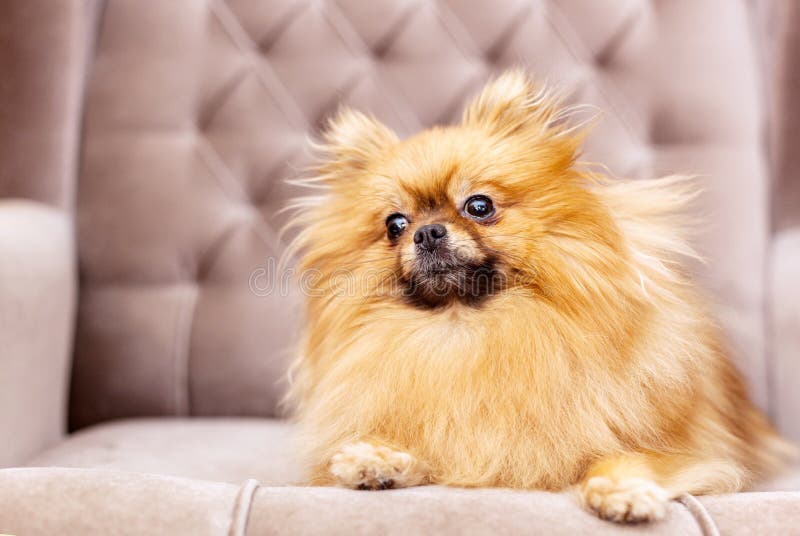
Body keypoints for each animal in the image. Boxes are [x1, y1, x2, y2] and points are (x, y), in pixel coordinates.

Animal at [284, 71, 792, 524]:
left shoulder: (686, 449)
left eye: (479, 206)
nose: (426, 232)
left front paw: (622, 489)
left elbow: (625, 458)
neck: (465, 329)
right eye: (395, 225)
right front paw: (377, 457)